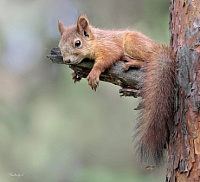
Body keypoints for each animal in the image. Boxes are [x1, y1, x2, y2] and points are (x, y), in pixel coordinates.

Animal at [57, 14, 175, 165]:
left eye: (77, 43)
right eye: (59, 45)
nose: (66, 60)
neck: (96, 40)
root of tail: (156, 48)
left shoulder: (108, 46)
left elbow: (108, 58)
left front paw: (94, 72)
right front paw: (75, 74)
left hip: (133, 42)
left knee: (147, 59)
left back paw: (133, 61)